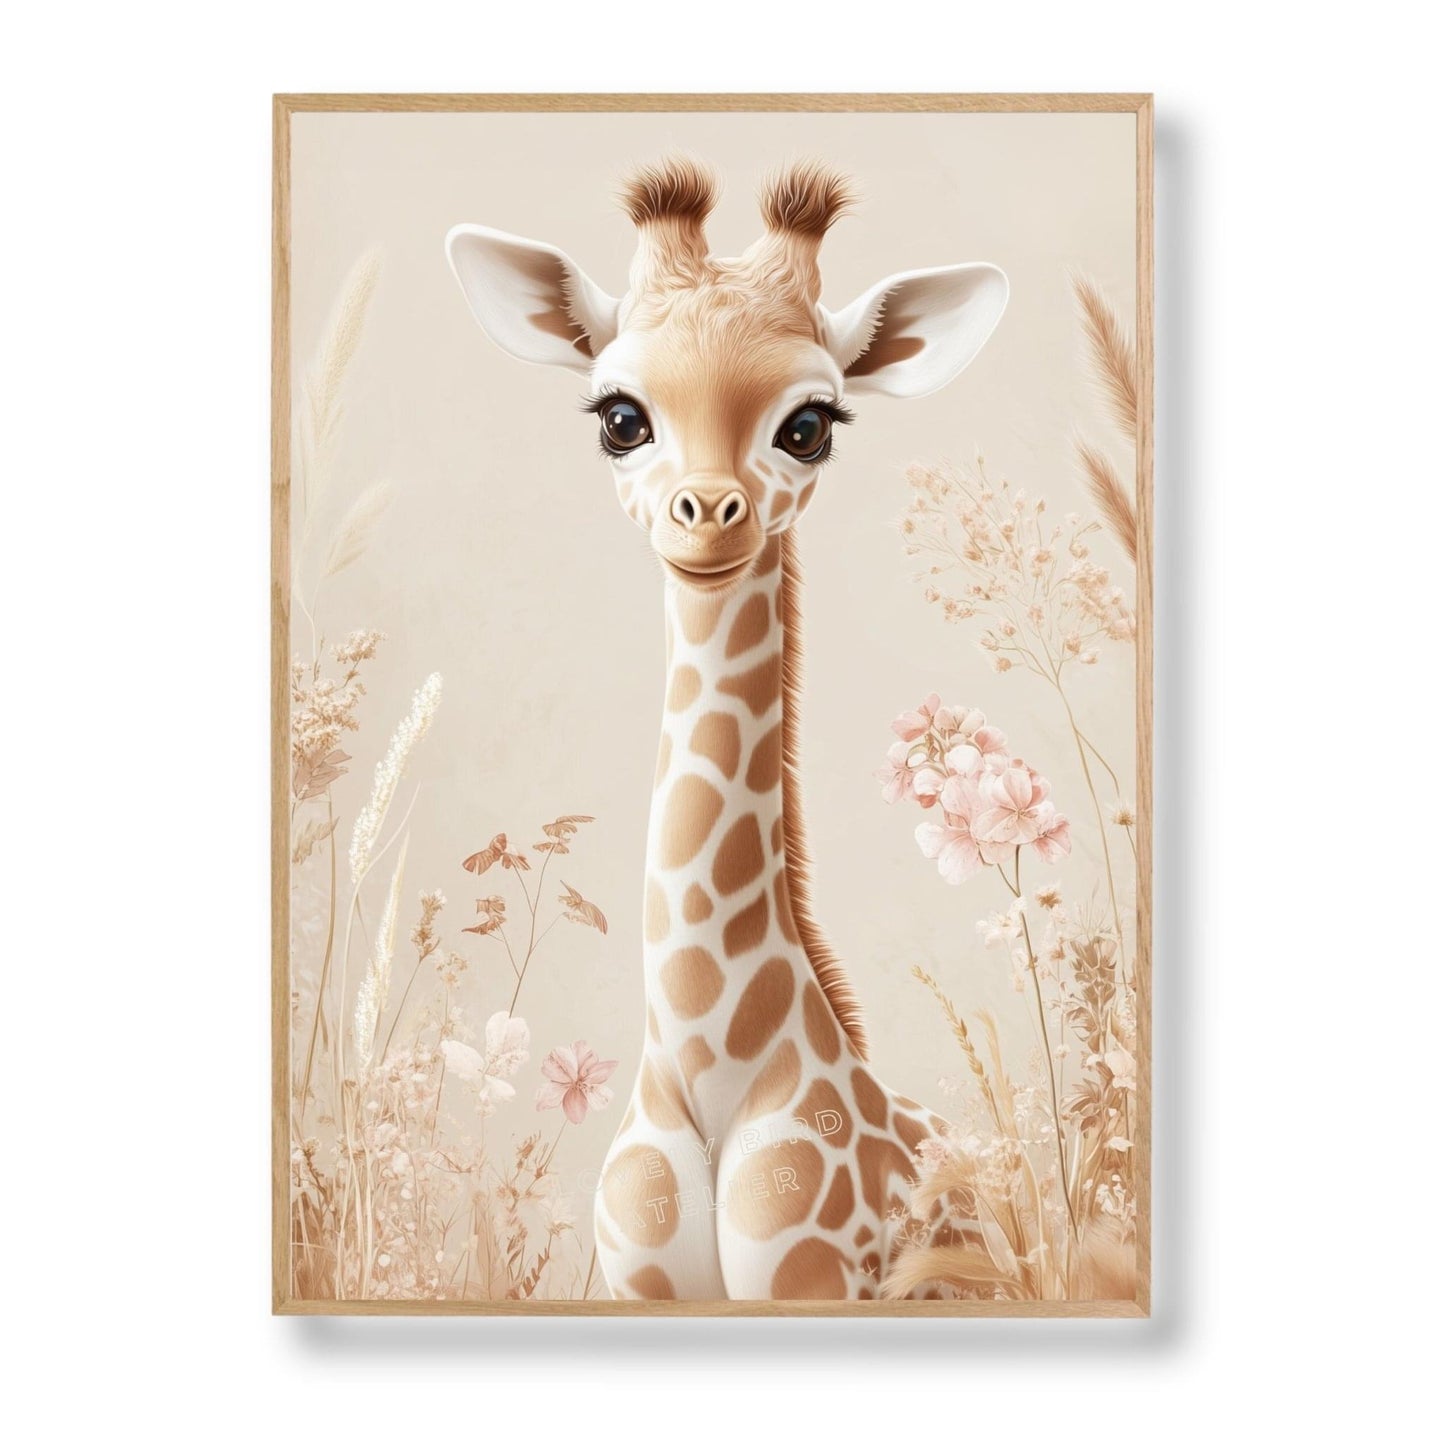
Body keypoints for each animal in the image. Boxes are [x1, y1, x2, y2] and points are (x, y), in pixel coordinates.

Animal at [447, 158, 1008, 1300]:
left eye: (809, 424)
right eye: (621, 416)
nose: (707, 515)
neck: (708, 1075)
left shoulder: (812, 1283)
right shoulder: (637, 1283)